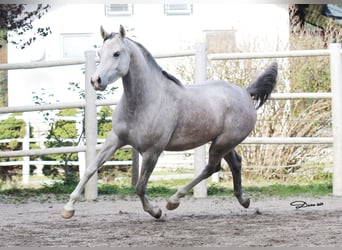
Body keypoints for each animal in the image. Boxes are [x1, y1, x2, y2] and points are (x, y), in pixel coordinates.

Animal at [62, 25, 278, 219]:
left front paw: (156, 211)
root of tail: (245, 92)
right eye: (99, 52)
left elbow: (140, 186)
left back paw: (173, 200)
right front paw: (68, 208)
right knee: (235, 164)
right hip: (223, 143)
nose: (96, 80)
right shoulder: (115, 139)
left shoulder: (152, 151)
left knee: (211, 167)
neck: (145, 102)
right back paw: (244, 200)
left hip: (222, 143)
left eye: (116, 53)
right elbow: (90, 169)